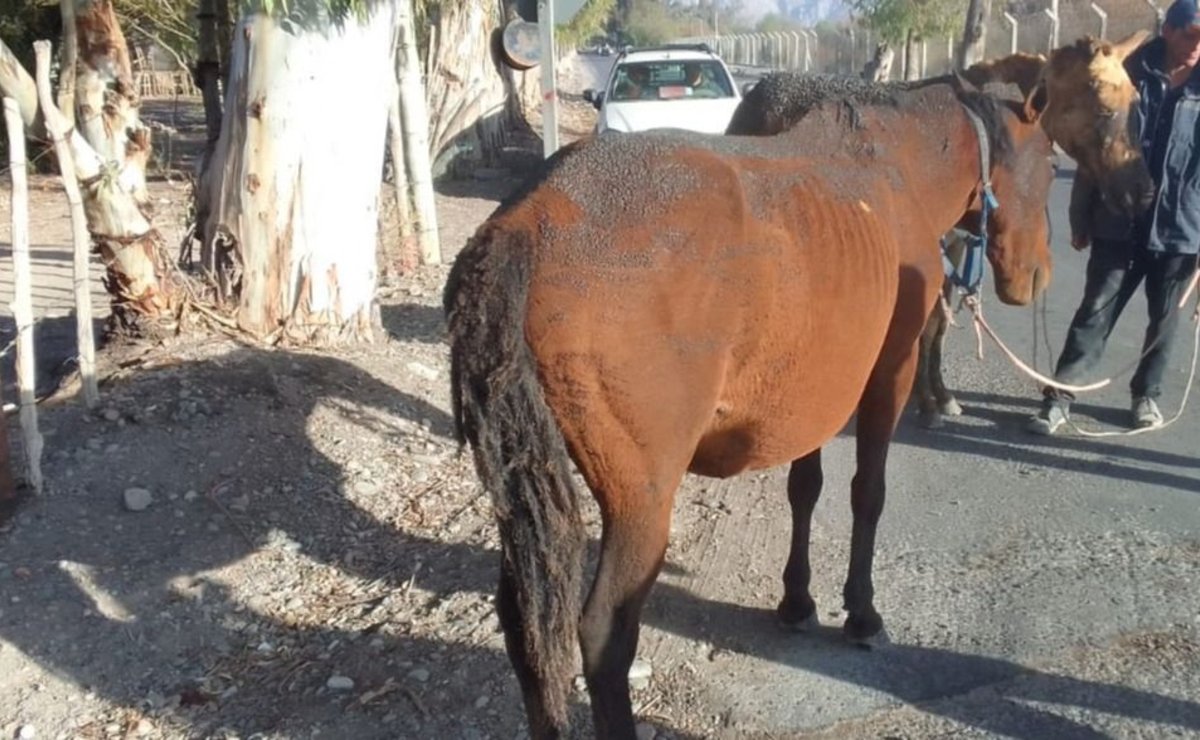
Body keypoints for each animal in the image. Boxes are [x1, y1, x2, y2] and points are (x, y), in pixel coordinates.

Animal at [448, 77, 1051, 734]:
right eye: (1050, 166)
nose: (1037, 277)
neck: (895, 168)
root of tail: (527, 222)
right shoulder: (890, 377)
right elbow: (868, 493)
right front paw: (861, 612)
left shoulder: (810, 397)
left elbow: (805, 490)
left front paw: (797, 600)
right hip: (641, 504)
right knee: (603, 632)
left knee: (523, 624)